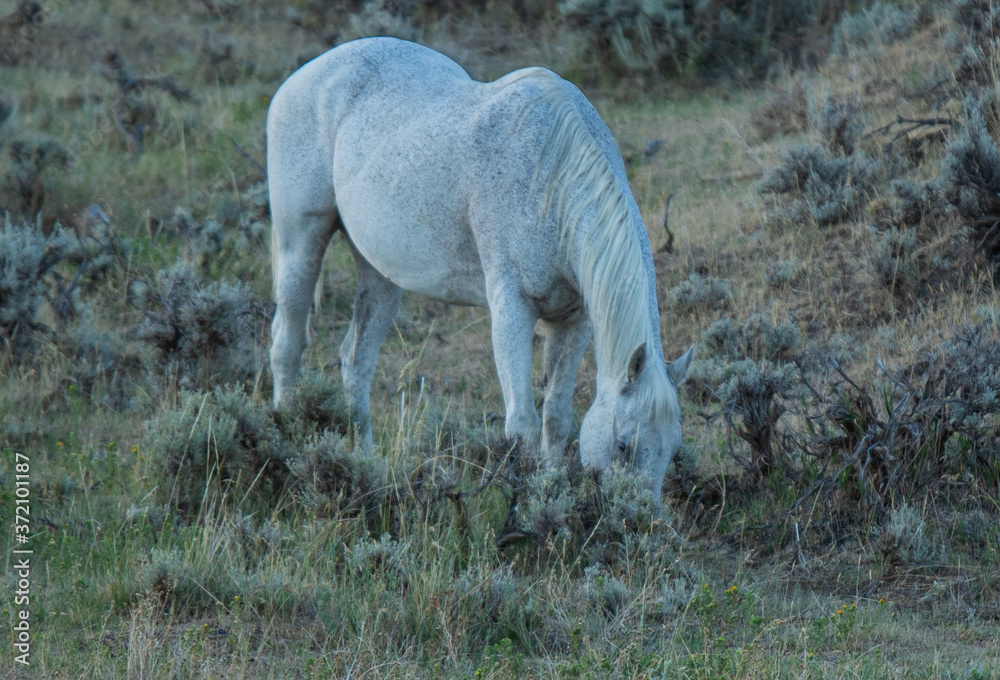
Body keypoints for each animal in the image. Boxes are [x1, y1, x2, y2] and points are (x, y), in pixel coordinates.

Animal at [267, 37, 693, 496]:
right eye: (622, 445)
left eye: (672, 451)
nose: (636, 514)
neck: (551, 175)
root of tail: (304, 74)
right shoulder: (512, 310)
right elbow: (521, 423)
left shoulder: (573, 319)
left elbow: (557, 416)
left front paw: (550, 489)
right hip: (301, 243)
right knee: (286, 346)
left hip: (378, 274)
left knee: (354, 362)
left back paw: (366, 463)